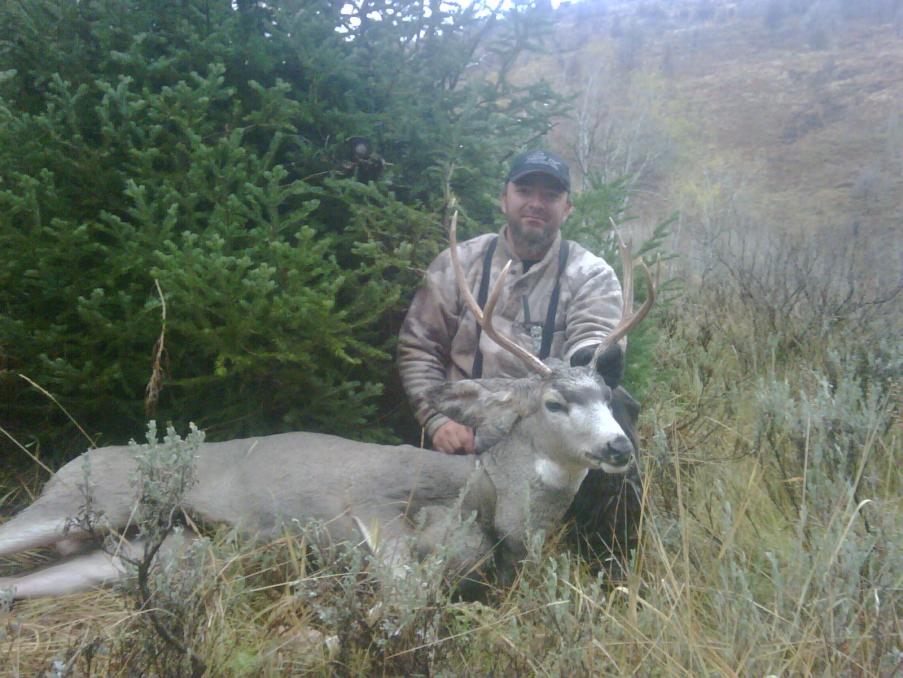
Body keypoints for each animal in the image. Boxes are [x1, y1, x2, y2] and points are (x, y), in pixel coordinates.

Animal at [0, 218, 648, 600]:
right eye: (556, 402)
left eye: (609, 399)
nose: (619, 447)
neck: (492, 497)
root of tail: (77, 460)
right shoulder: (372, 503)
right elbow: (407, 589)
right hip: (84, 501)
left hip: (131, 550)